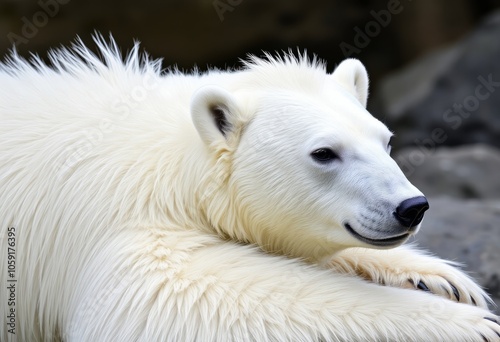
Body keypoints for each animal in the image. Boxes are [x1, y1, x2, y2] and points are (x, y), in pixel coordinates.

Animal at [0, 37, 498, 342]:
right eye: (324, 153)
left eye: (387, 140)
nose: (411, 207)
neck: (178, 162)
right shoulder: (123, 224)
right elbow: (174, 300)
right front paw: (470, 324)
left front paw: (442, 281)